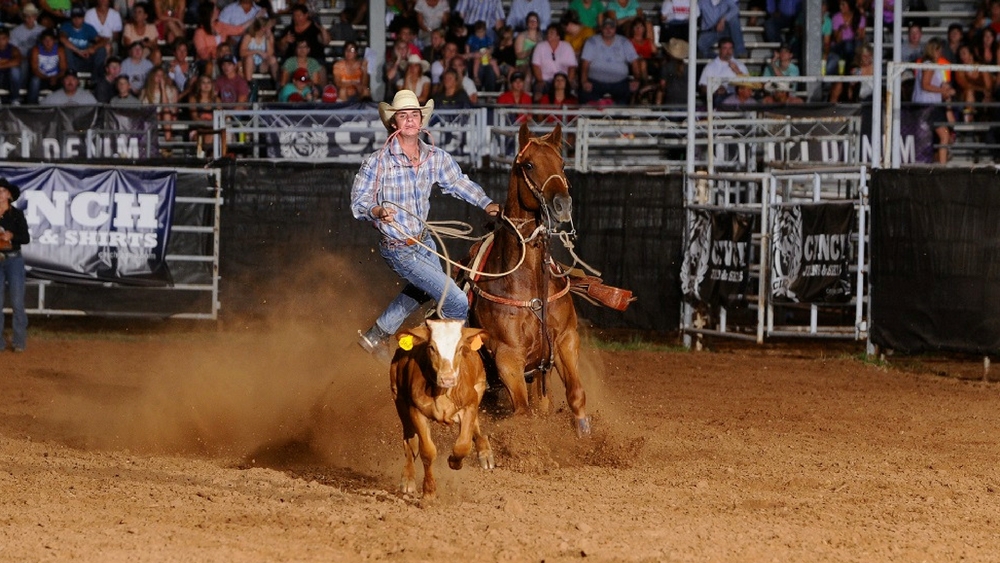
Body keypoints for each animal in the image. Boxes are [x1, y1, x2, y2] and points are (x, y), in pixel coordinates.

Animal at [470, 123, 592, 438]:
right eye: (528, 164)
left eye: (562, 163)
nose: (562, 204)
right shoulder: (508, 357)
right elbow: (523, 413)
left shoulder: (565, 340)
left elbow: (576, 394)